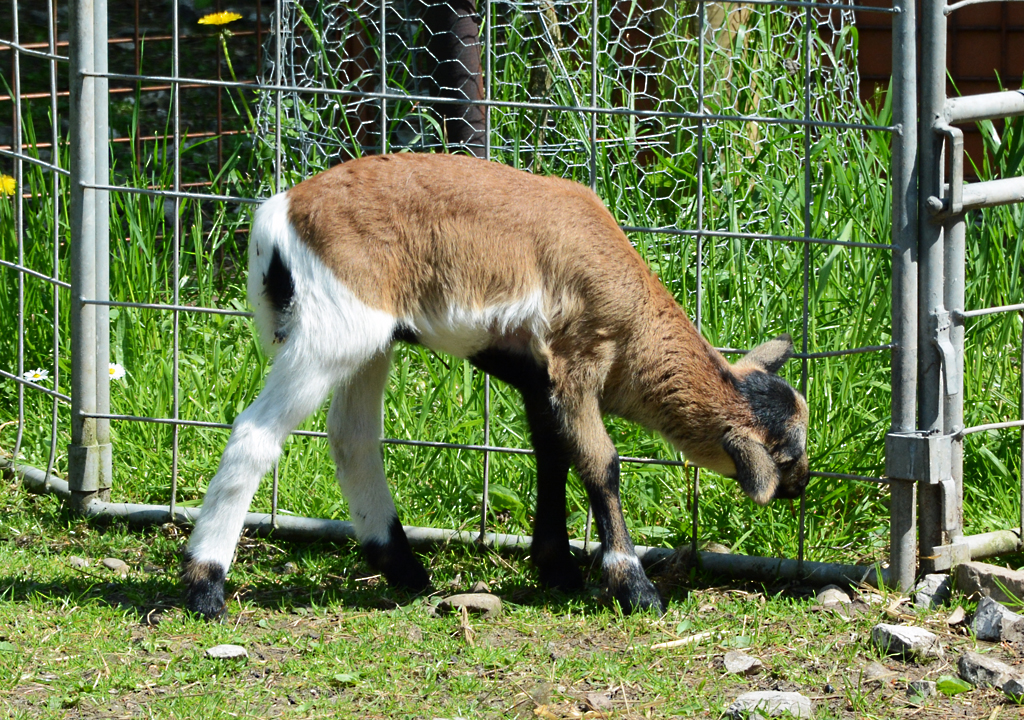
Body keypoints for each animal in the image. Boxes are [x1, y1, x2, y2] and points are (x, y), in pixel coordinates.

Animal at [182, 153, 806, 618]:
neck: (636, 323)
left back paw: (404, 570)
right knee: (255, 435)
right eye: (786, 454)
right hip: (332, 331)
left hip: (368, 341)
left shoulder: (535, 371)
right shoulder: (577, 359)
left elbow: (553, 453)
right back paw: (206, 587)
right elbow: (600, 463)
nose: (799, 489)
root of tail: (278, 215)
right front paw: (634, 589)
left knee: (351, 438)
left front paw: (557, 567)